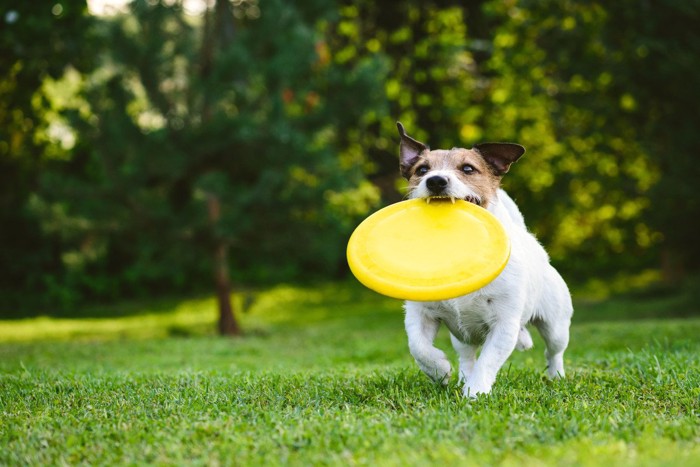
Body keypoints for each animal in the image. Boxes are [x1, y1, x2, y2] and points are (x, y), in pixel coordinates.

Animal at [396, 121, 572, 398]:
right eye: (422, 170)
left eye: (468, 168)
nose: (435, 181)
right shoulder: (419, 313)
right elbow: (418, 347)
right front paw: (439, 370)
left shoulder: (504, 324)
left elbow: (488, 361)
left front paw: (475, 392)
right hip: (461, 336)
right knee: (467, 356)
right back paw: (461, 377)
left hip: (556, 325)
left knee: (554, 352)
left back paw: (557, 377)